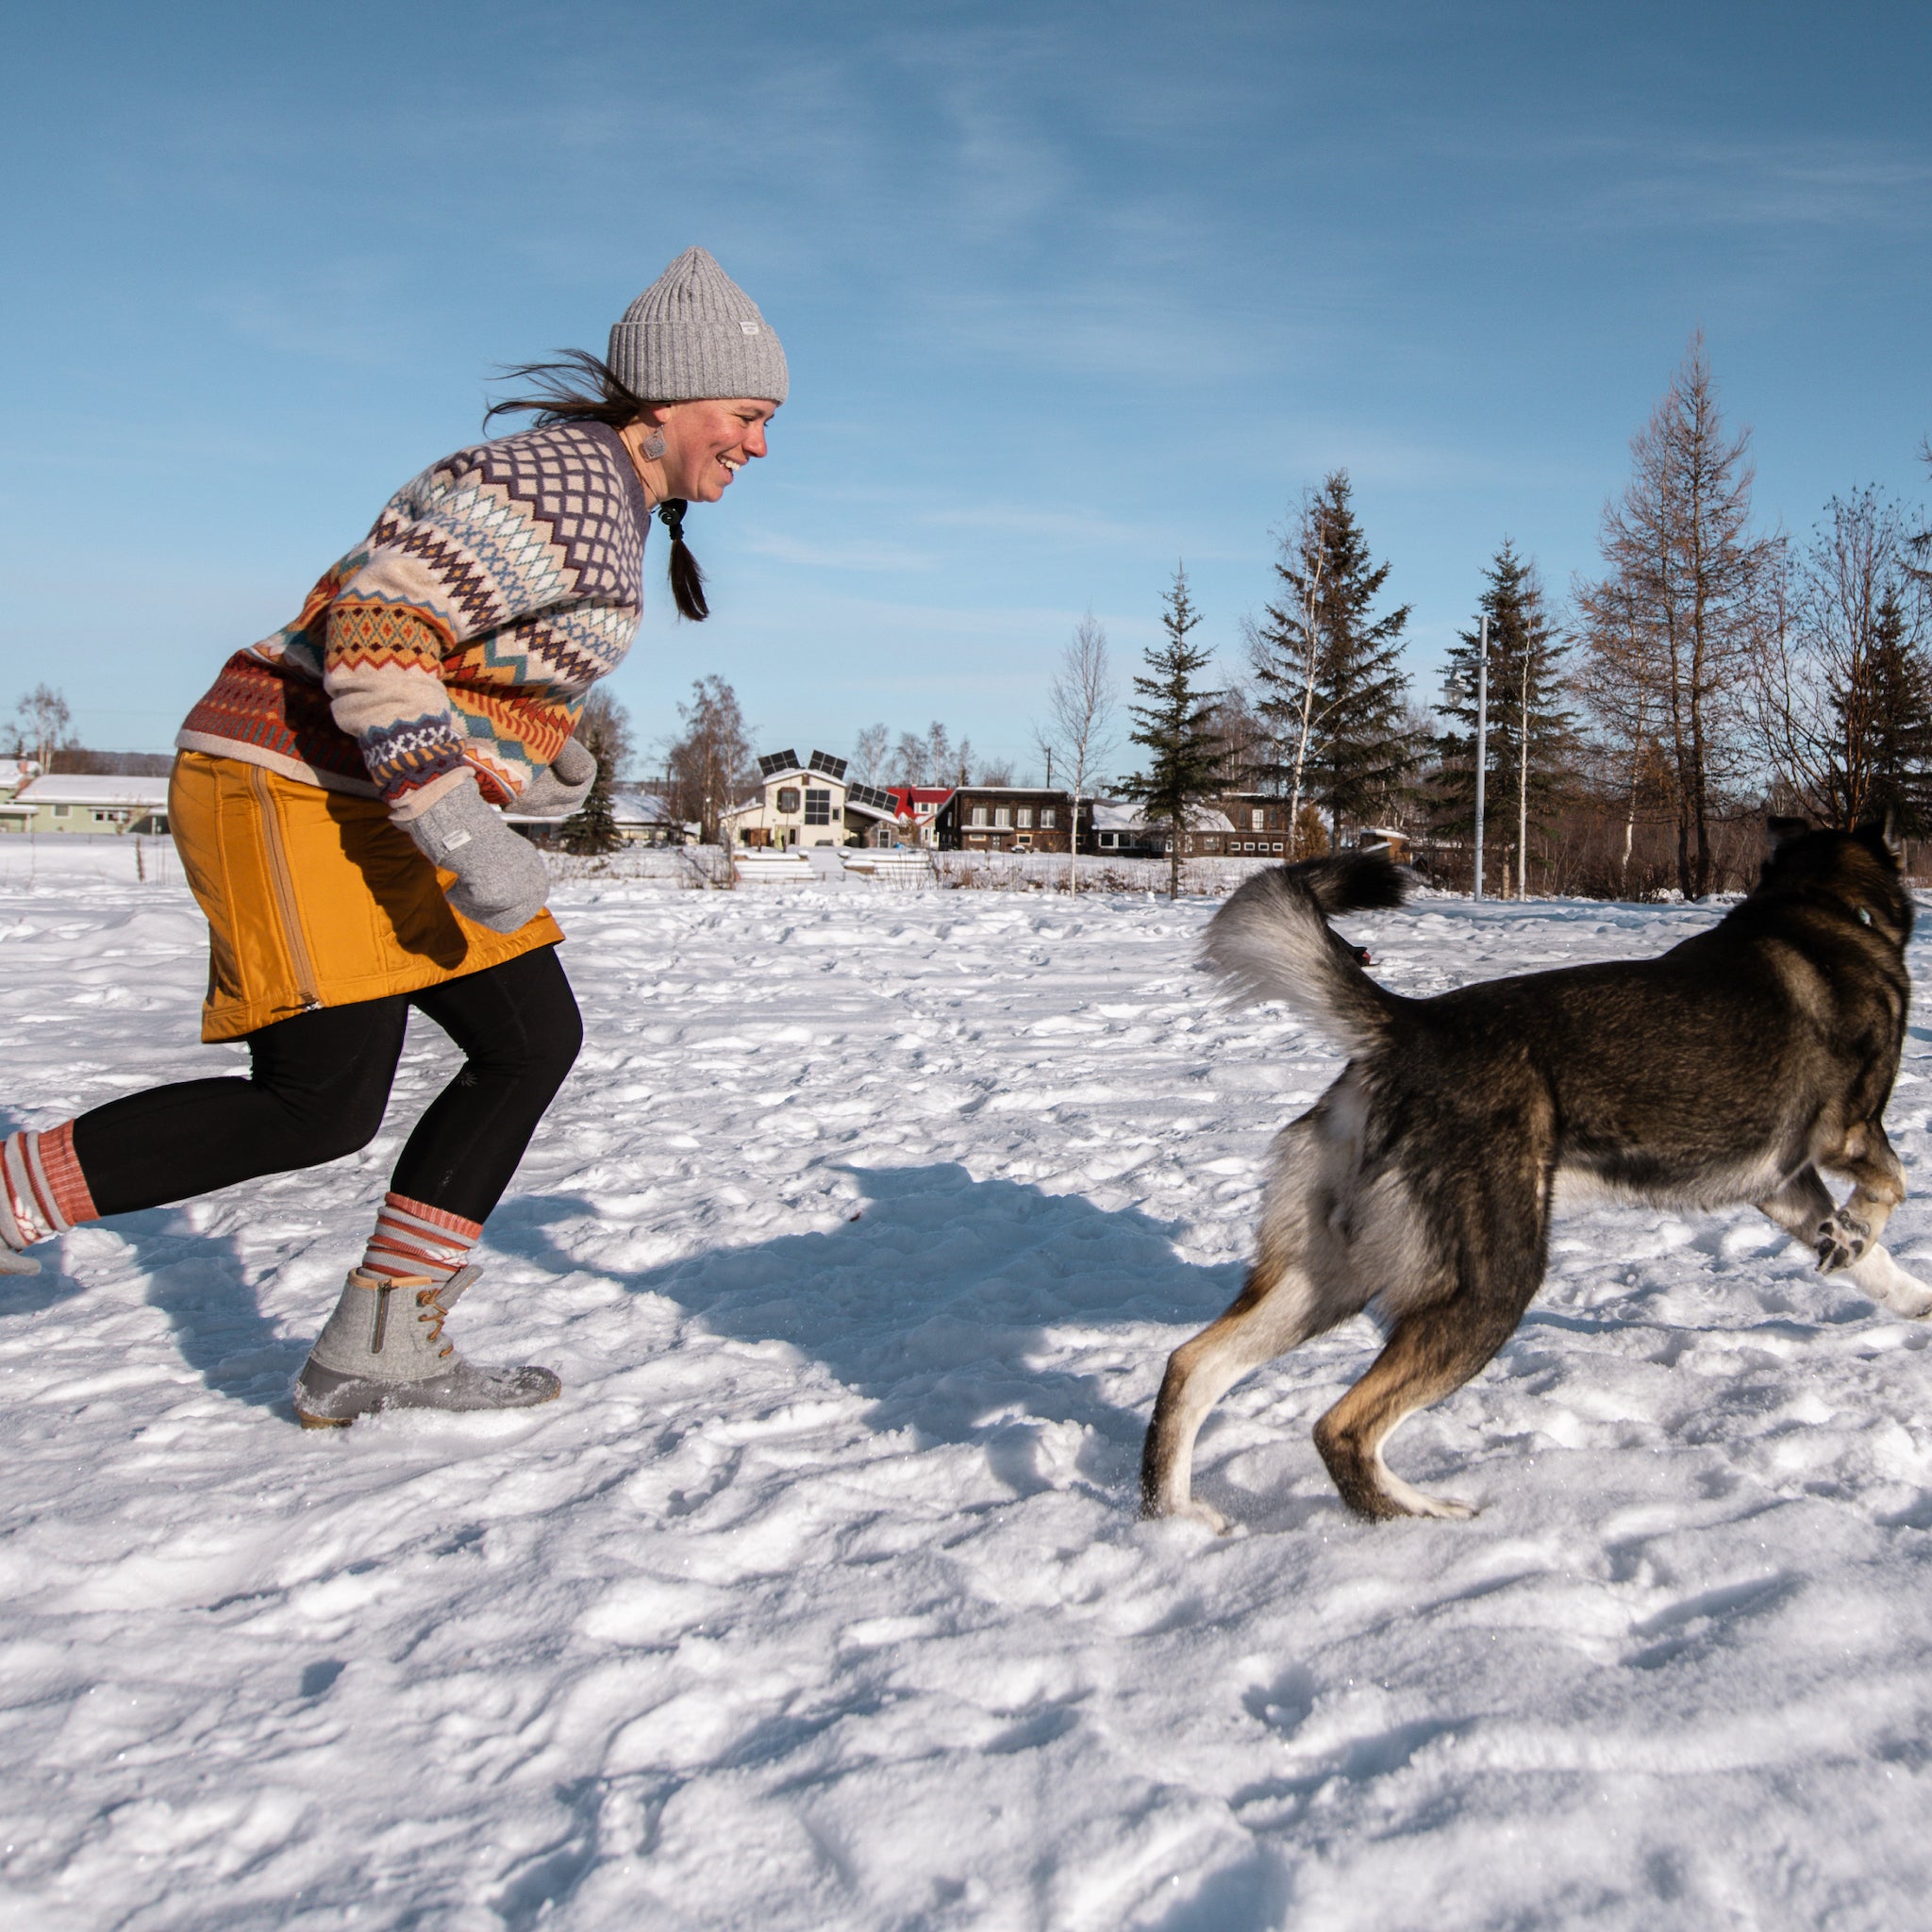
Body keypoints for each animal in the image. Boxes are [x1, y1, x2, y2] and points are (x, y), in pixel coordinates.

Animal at [1136, 823, 1924, 1530]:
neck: (1822, 903)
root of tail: (1410, 1029)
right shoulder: (1846, 1134)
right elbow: (1894, 1184)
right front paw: (1860, 1230)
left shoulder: (1785, 1184)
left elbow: (1877, 1264)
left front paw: (1897, 1286)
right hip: (1492, 1287)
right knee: (1342, 1428)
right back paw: (1424, 1515)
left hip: (1327, 1279)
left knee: (1191, 1365)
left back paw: (1175, 1520)